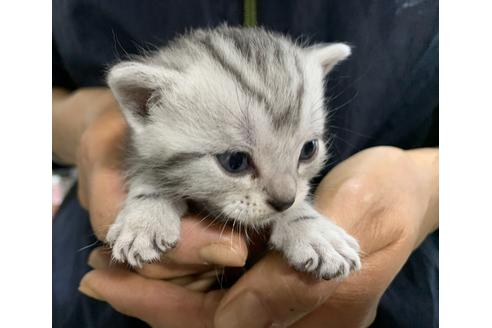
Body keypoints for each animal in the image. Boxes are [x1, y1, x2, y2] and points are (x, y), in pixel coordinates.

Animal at [106, 26, 362, 280]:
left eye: (309, 149)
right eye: (235, 161)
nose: (284, 202)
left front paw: (312, 229)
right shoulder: (132, 147)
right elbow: (147, 172)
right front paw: (144, 218)